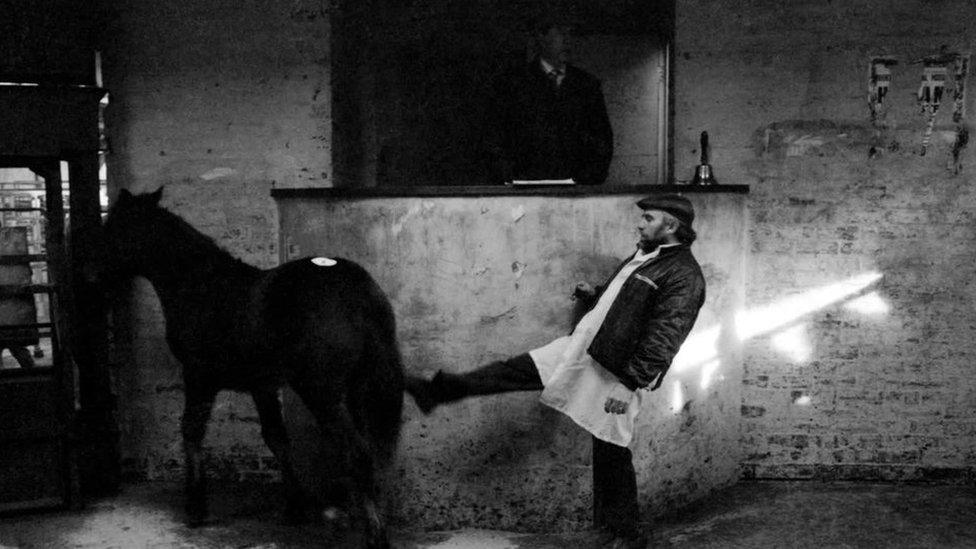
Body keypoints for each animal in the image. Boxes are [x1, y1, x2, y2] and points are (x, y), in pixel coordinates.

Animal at [97, 186, 402, 544]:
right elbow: (276, 438)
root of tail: (358, 294)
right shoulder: (262, 384)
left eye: (114, 227)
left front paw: (196, 509)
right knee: (375, 453)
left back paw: (375, 535)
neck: (201, 287)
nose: (91, 273)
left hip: (322, 394)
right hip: (359, 391)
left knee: (359, 454)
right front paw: (294, 508)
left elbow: (191, 431)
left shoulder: (199, 376)